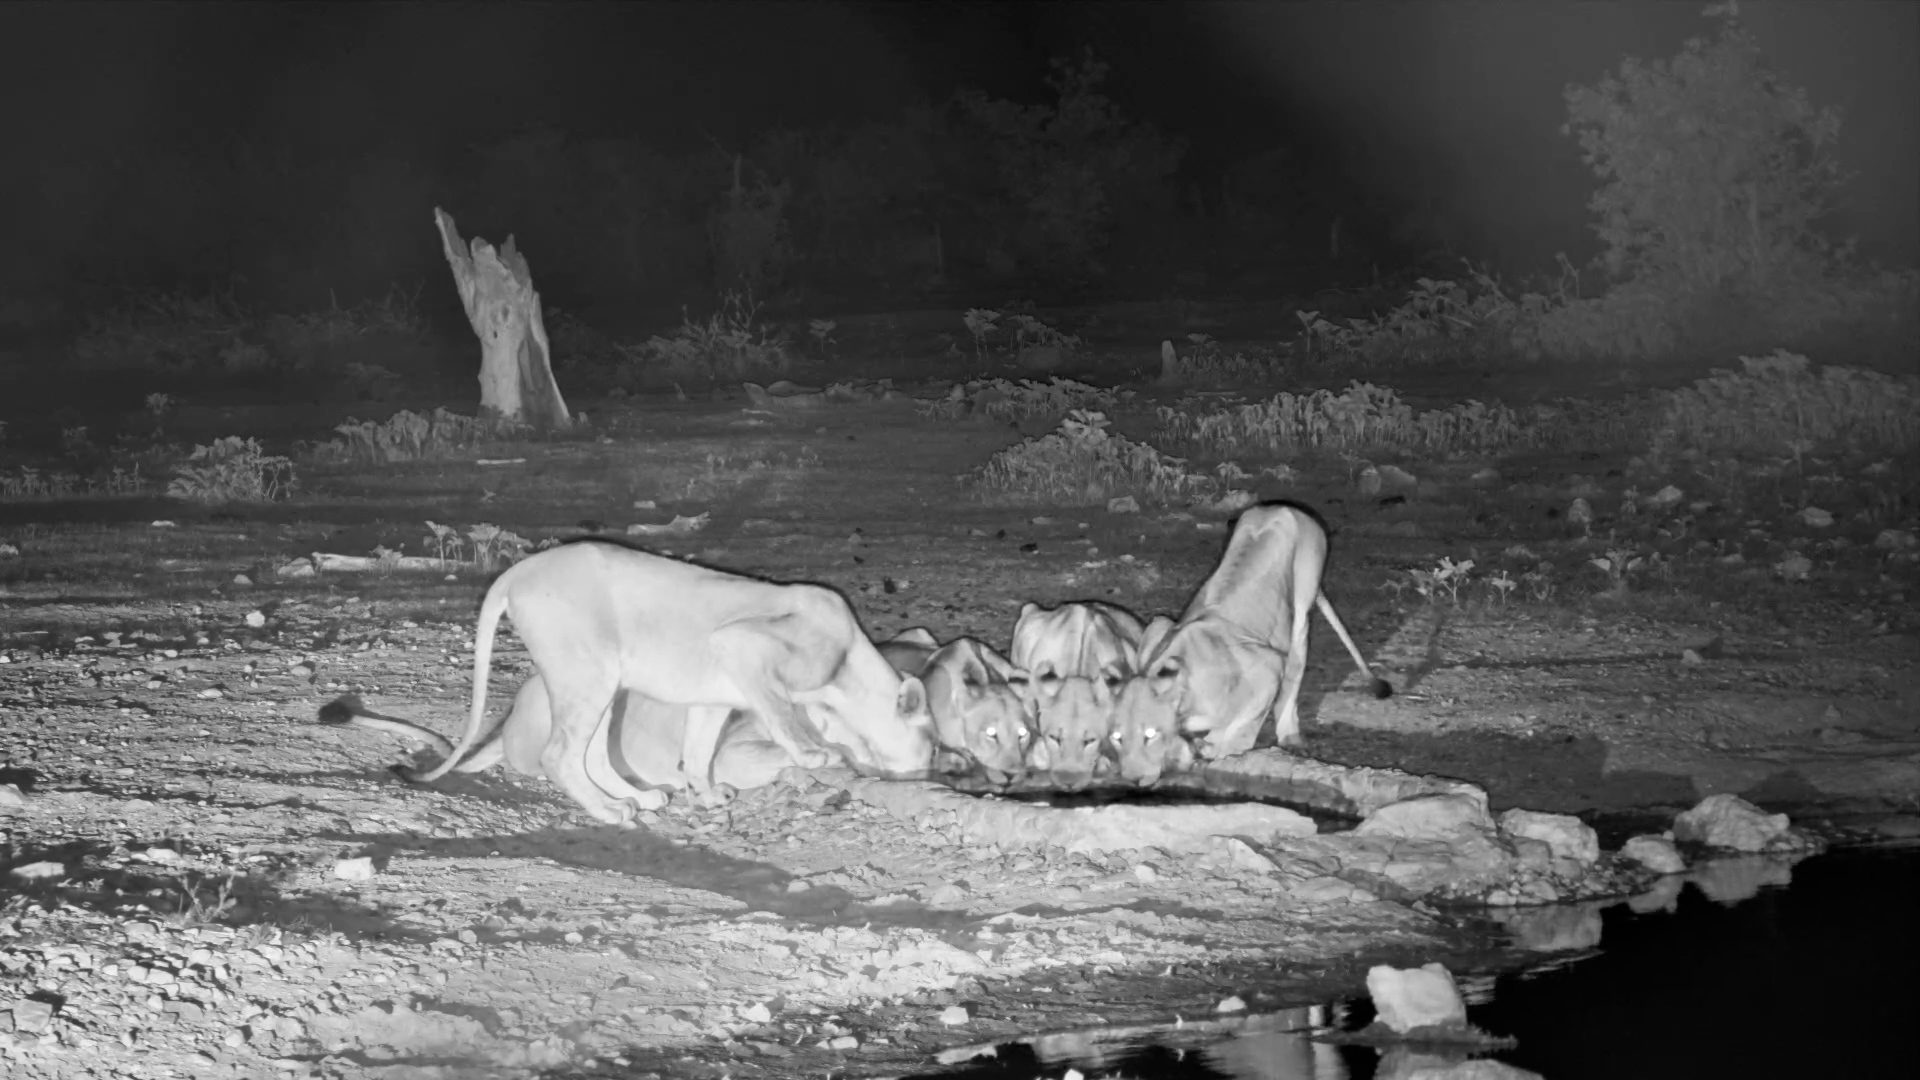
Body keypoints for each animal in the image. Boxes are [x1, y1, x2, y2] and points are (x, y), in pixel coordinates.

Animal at [349, 539, 936, 824]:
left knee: (592, 753)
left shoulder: (713, 695)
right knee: (561, 755)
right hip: (589, 672)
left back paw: (642, 797)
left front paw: (706, 795)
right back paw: (611, 811)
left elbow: (698, 751)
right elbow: (782, 713)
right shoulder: (743, 643)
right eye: (932, 742)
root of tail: (515, 574)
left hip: (608, 684)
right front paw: (816, 753)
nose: (933, 770)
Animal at [1112, 502, 1391, 776]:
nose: (1133, 777)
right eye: (1117, 737)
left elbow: (1240, 728)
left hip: (1301, 610)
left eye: (1150, 735)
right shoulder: (1159, 626)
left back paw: (1289, 736)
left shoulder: (1269, 666)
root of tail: (1282, 507)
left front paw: (1221, 749)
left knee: (1294, 669)